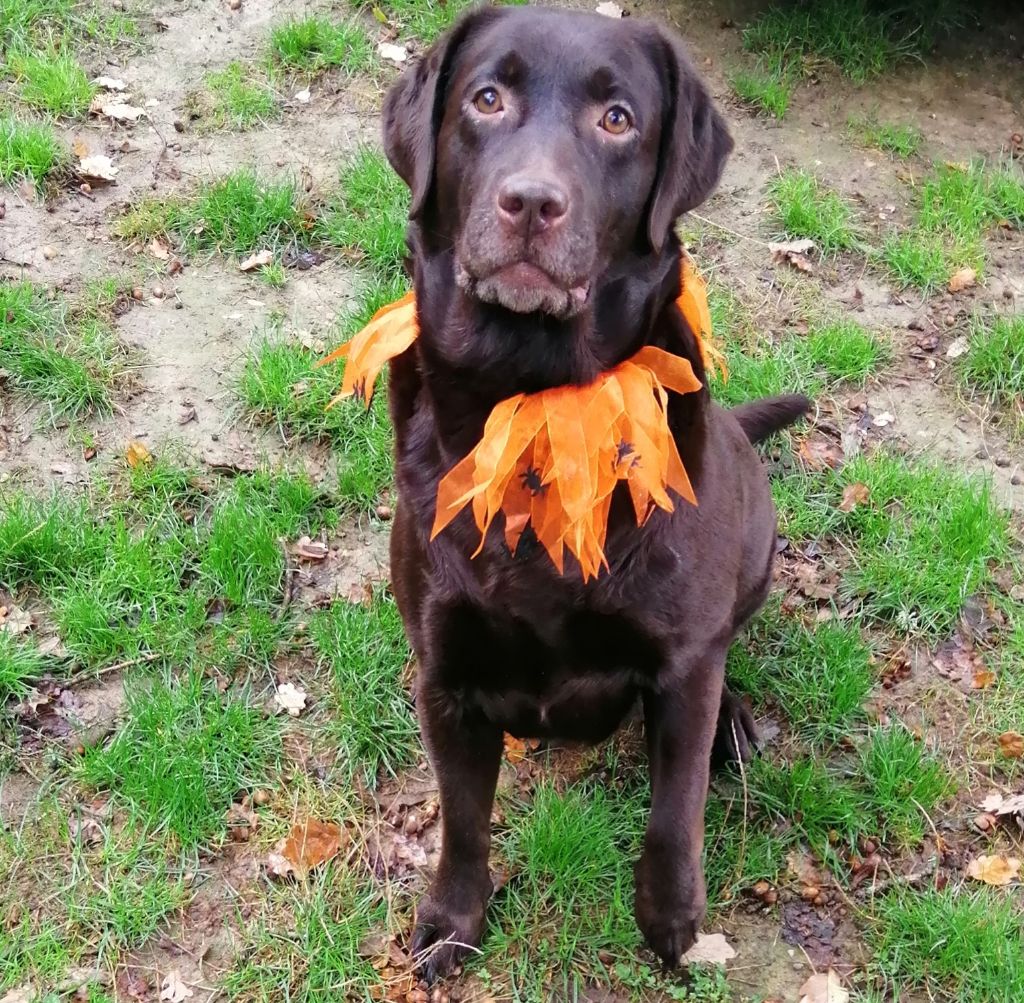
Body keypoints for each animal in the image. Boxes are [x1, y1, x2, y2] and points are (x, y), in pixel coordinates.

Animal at [376, 5, 806, 979]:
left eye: (618, 120)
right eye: (485, 99)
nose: (531, 203)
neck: (532, 399)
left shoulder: (681, 661)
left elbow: (674, 808)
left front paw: (672, 921)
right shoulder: (444, 676)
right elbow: (463, 820)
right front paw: (453, 918)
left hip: (755, 547)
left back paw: (736, 722)